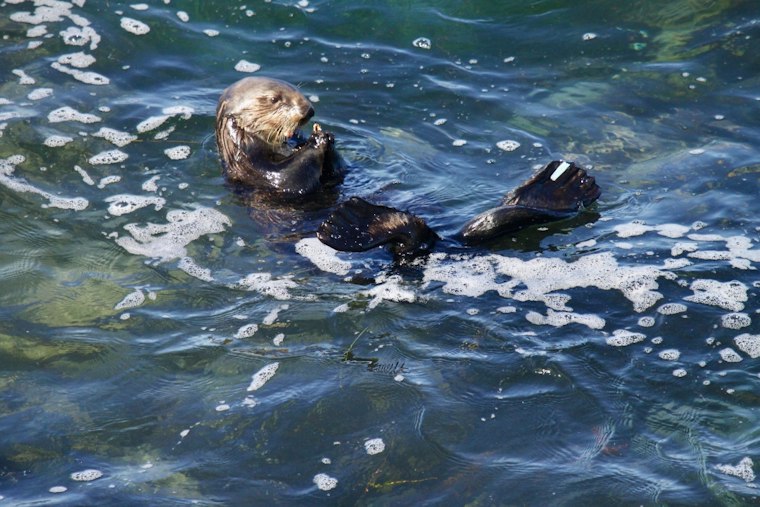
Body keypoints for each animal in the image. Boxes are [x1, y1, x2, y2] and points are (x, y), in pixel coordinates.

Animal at [215, 77, 601, 259]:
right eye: (274, 99)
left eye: (297, 91)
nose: (309, 110)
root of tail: (447, 242)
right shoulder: (256, 171)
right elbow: (290, 179)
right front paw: (317, 141)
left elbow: (335, 173)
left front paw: (323, 136)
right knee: (410, 238)